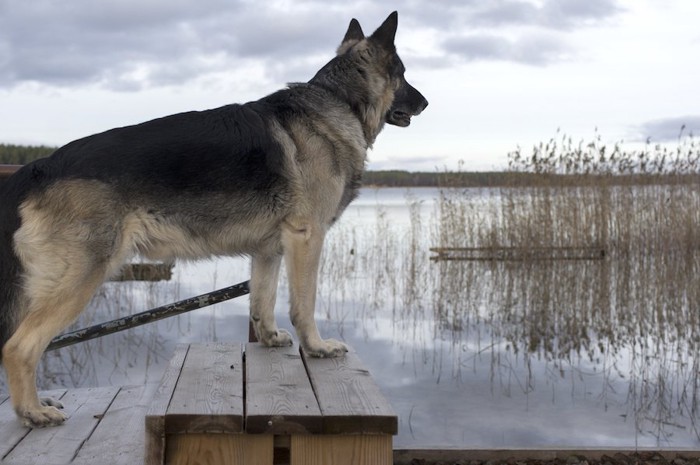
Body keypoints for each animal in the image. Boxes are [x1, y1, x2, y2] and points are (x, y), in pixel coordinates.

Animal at [0, 10, 426, 426]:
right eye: (404, 74)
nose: (425, 103)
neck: (338, 101)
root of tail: (38, 167)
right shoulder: (307, 238)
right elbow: (303, 304)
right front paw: (317, 347)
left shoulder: (270, 250)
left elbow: (263, 301)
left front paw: (270, 338)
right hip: (80, 278)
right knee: (19, 347)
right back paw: (32, 411)